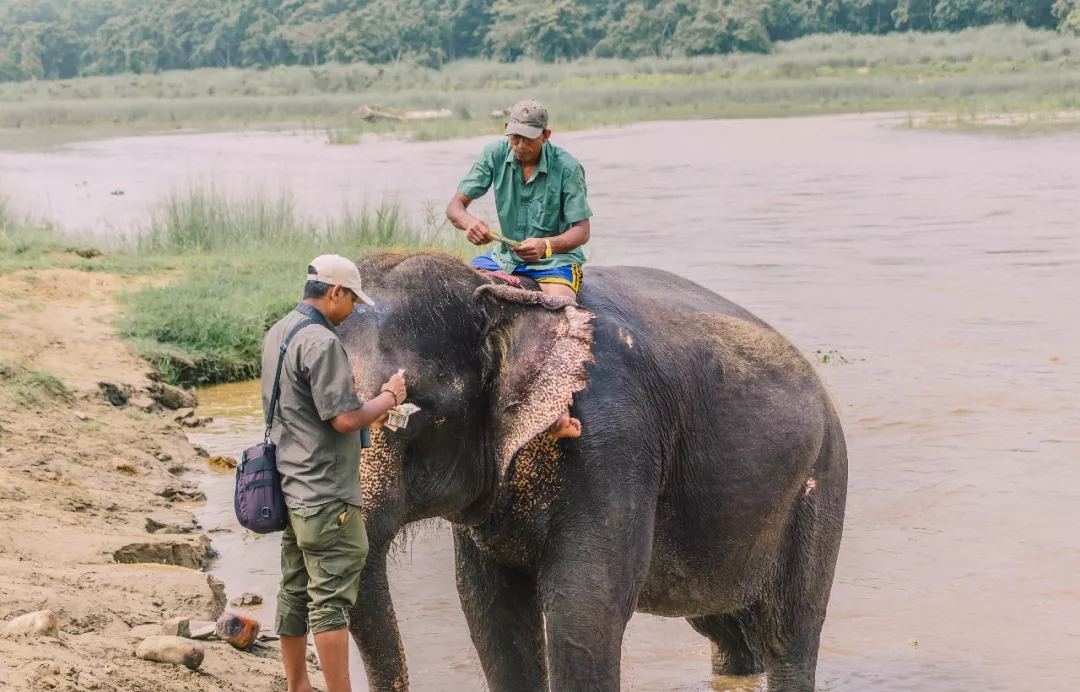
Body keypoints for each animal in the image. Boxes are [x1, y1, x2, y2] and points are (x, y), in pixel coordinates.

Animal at [341, 249, 846, 690]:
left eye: (417, 409)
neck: (508, 300)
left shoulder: (613, 439)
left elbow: (583, 607)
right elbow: (490, 610)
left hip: (820, 484)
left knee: (789, 633)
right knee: (720, 625)